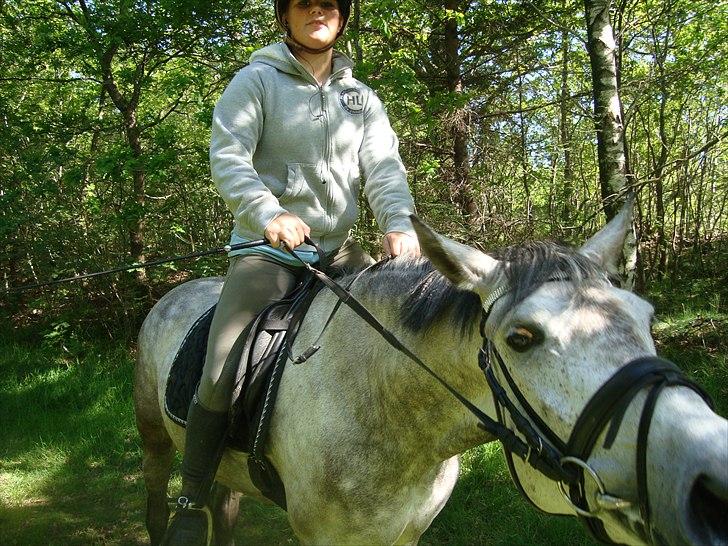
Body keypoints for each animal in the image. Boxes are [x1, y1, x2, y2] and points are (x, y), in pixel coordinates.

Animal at [132, 201, 728, 544]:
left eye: (645, 316)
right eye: (522, 337)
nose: (708, 484)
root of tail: (174, 293)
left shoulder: (405, 533)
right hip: (155, 438)